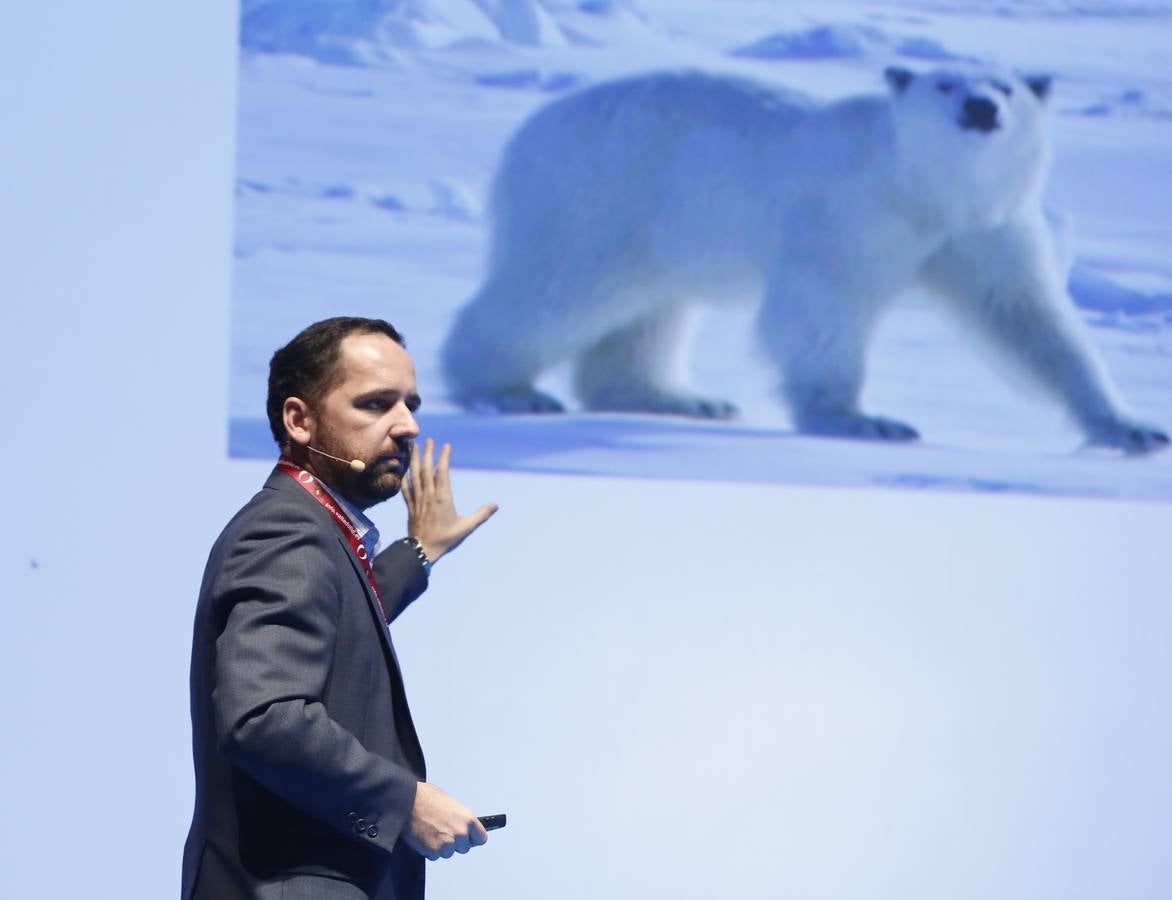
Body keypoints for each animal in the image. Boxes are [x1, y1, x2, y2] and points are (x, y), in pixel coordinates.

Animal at [443, 66, 1167, 454]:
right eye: (943, 83)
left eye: (1007, 87)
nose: (980, 107)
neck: (925, 188)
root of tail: (524, 134)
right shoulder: (853, 213)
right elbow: (821, 306)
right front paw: (863, 419)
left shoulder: (987, 230)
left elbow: (1029, 318)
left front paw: (1131, 427)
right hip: (598, 198)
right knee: (556, 290)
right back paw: (505, 389)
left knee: (648, 314)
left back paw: (684, 398)